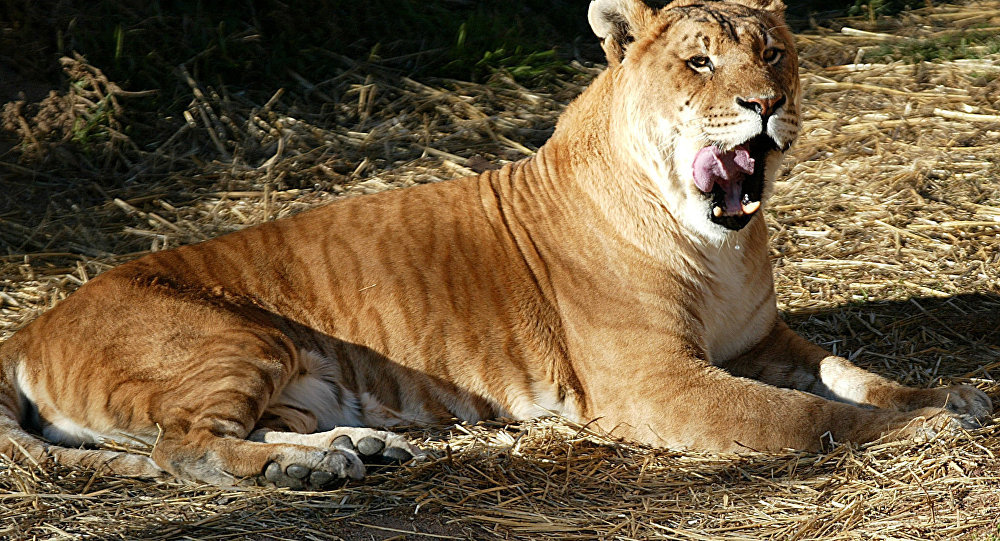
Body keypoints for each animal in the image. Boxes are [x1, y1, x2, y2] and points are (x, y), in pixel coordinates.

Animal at [0, 0, 991, 489]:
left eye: (776, 52)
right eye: (702, 62)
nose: (767, 104)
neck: (716, 242)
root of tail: (30, 325)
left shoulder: (760, 341)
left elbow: (850, 374)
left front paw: (955, 393)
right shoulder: (656, 384)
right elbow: (807, 417)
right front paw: (930, 426)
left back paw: (358, 447)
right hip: (237, 336)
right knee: (183, 448)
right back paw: (312, 469)